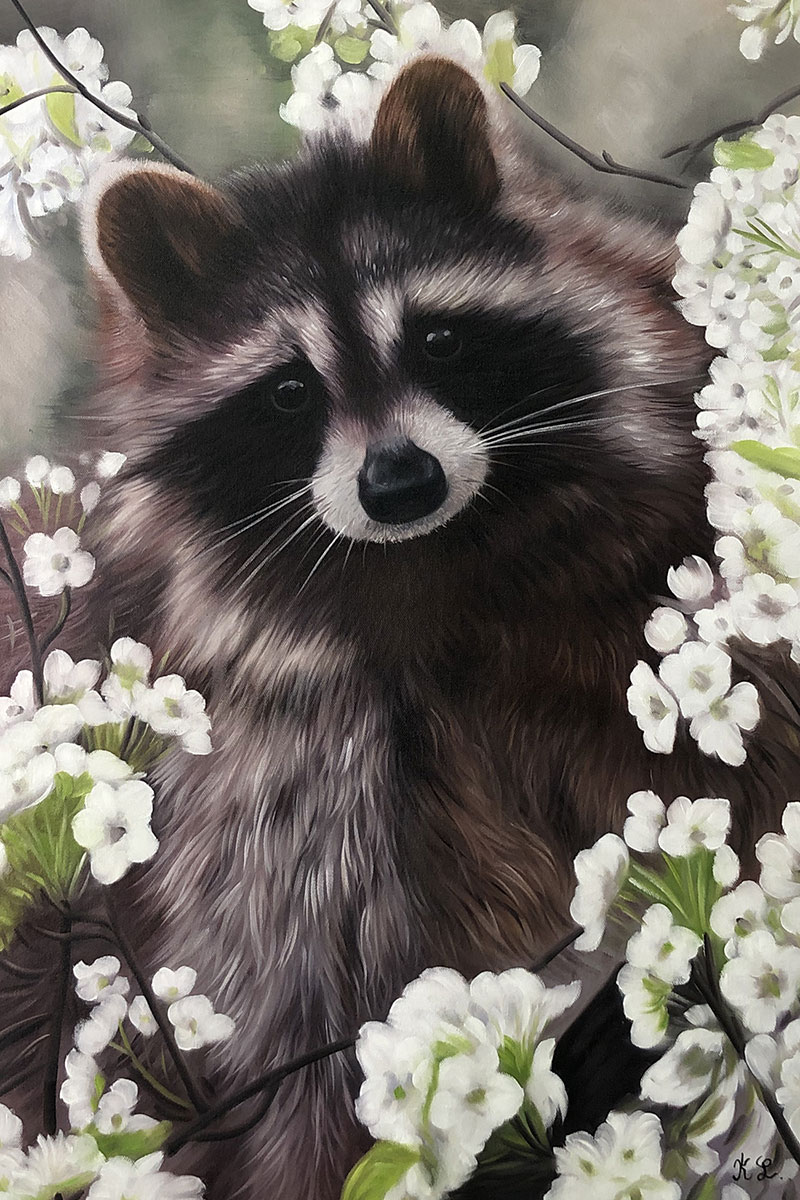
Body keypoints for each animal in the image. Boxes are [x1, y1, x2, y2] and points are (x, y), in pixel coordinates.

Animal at [4, 55, 800, 1199]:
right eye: (290, 391)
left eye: (440, 337)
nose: (398, 483)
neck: (443, 559)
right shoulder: (281, 751)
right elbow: (316, 1030)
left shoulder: (662, 560)